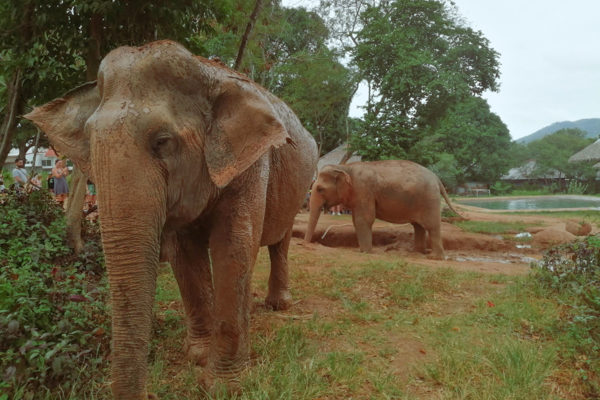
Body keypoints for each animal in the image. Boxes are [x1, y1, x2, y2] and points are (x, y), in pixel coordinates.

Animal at [24, 39, 318, 396]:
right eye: (89, 142)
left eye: (162, 142)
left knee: (280, 241)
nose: (150, 393)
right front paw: (199, 356)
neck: (205, 70)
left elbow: (233, 248)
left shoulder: (251, 163)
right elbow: (184, 254)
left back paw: (279, 305)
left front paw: (223, 387)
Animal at [308, 159, 462, 260]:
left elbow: (364, 219)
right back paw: (416, 253)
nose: (308, 243)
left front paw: (365, 252)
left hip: (429, 199)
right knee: (418, 226)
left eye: (320, 189)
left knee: (432, 226)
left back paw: (434, 257)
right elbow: (357, 220)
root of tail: (437, 178)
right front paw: (362, 251)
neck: (345, 167)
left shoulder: (363, 190)